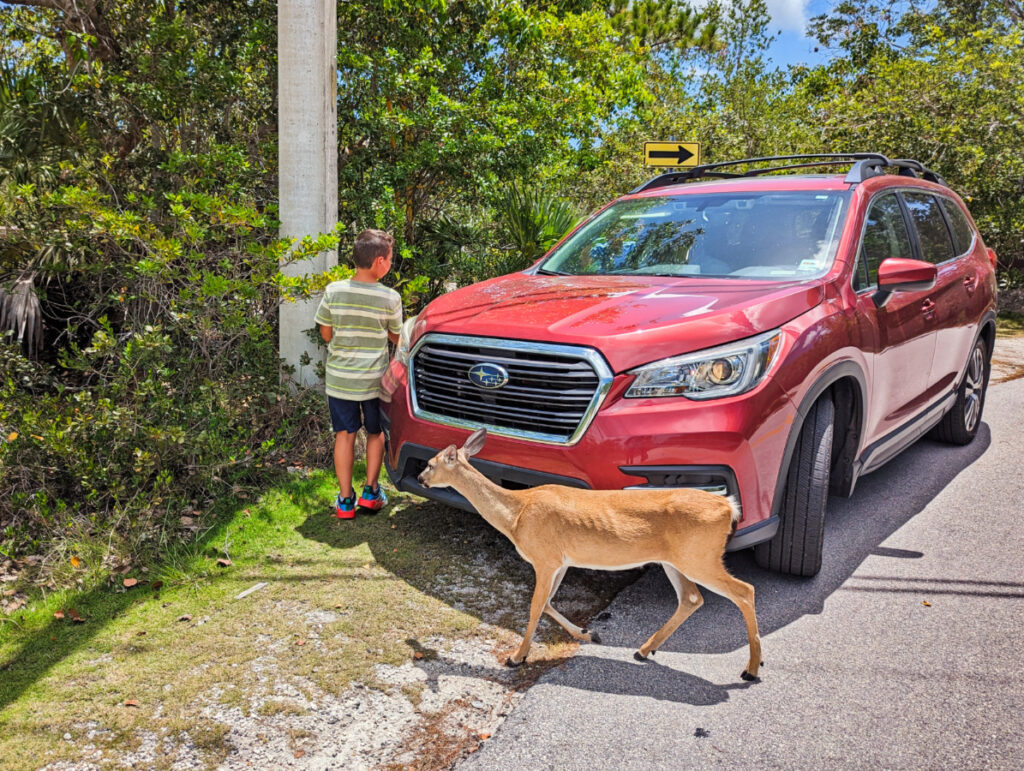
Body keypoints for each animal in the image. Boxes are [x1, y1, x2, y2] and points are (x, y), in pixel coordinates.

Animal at [413, 427, 761, 679]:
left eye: (430, 463)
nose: (419, 477)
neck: (517, 515)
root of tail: (728, 506)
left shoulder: (544, 557)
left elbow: (535, 605)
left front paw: (516, 657)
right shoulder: (560, 561)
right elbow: (548, 603)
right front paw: (587, 634)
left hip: (700, 556)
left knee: (745, 590)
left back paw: (751, 670)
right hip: (676, 559)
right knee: (691, 597)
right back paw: (643, 650)